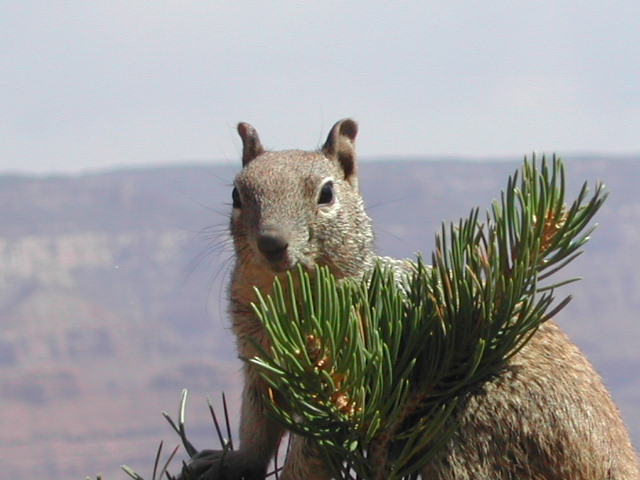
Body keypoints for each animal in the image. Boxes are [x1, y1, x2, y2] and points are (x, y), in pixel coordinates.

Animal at [182, 118, 636, 478]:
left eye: (327, 194)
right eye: (237, 194)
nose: (273, 243)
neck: (289, 297)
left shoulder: (349, 372)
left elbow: (311, 453)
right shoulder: (259, 362)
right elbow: (258, 428)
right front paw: (227, 463)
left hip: (471, 429)